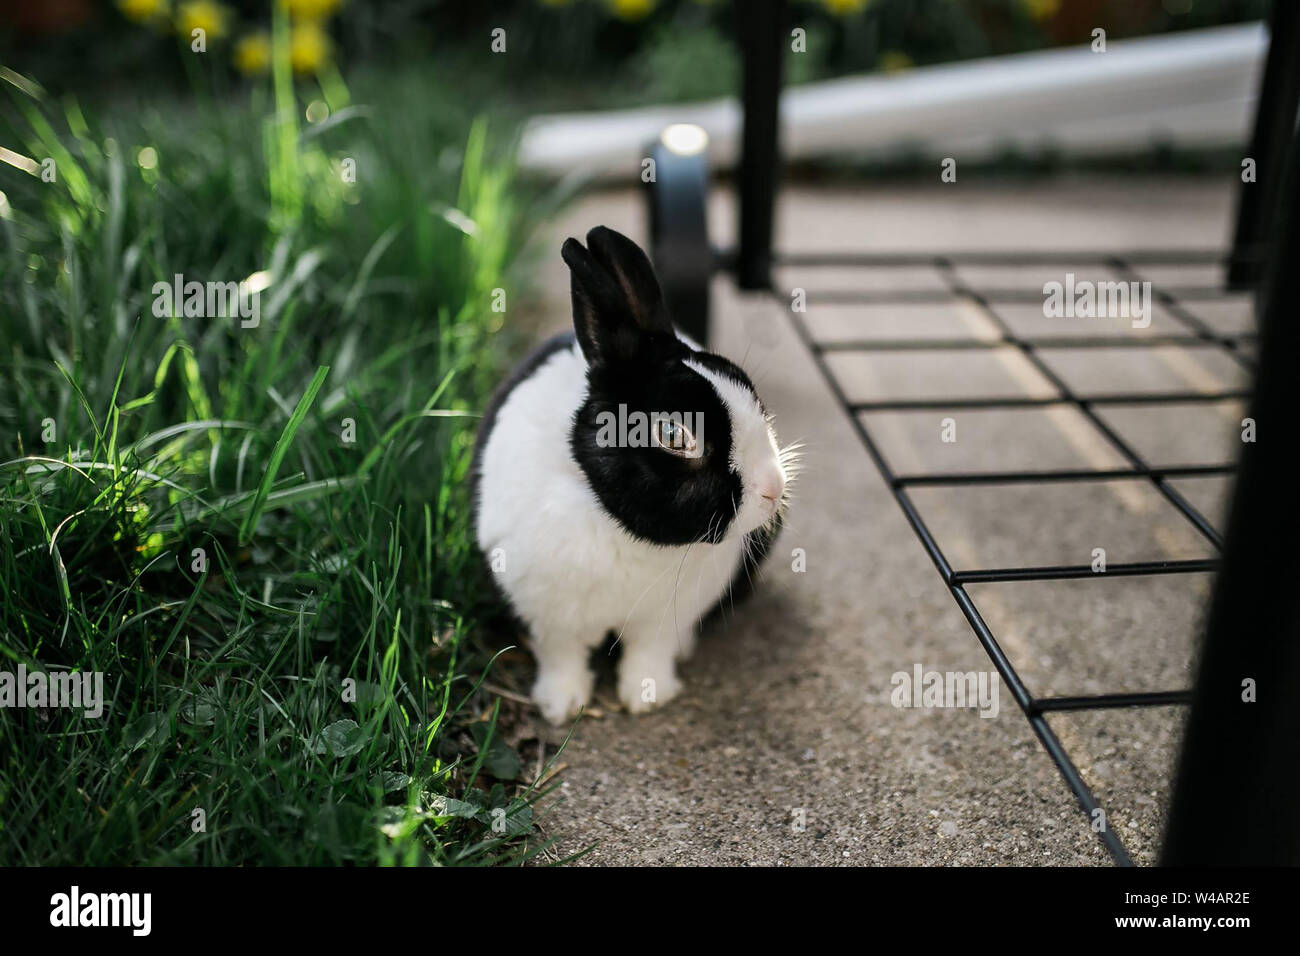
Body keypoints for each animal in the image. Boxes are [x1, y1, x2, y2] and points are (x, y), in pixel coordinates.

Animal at [471, 226, 795, 724]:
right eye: (674, 434)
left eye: (751, 392)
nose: (773, 490)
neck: (625, 533)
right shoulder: (547, 616)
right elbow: (561, 658)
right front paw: (561, 707)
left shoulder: (664, 618)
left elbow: (649, 653)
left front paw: (648, 697)